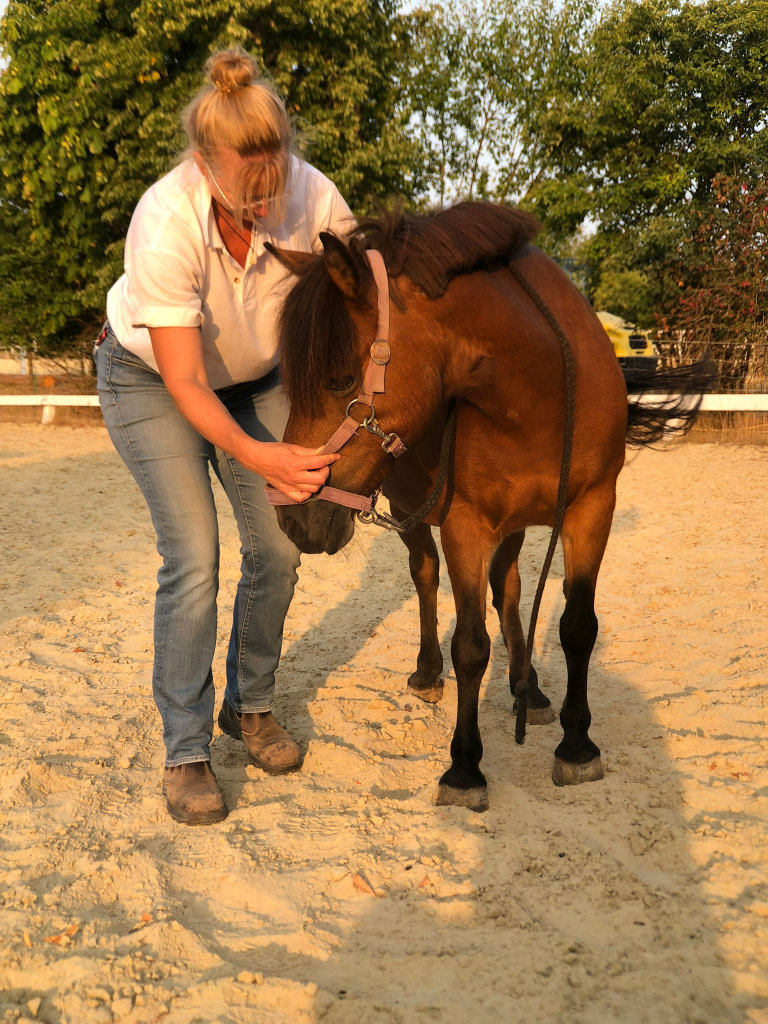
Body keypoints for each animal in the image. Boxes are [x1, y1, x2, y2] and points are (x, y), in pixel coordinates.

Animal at [266, 202, 705, 812]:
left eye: (340, 379)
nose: (293, 517)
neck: (537, 392)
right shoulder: (465, 525)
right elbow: (471, 645)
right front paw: (464, 769)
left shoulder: (592, 510)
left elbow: (576, 626)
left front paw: (576, 744)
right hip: (411, 513)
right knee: (426, 577)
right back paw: (428, 674)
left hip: (516, 526)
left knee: (510, 590)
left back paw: (530, 689)